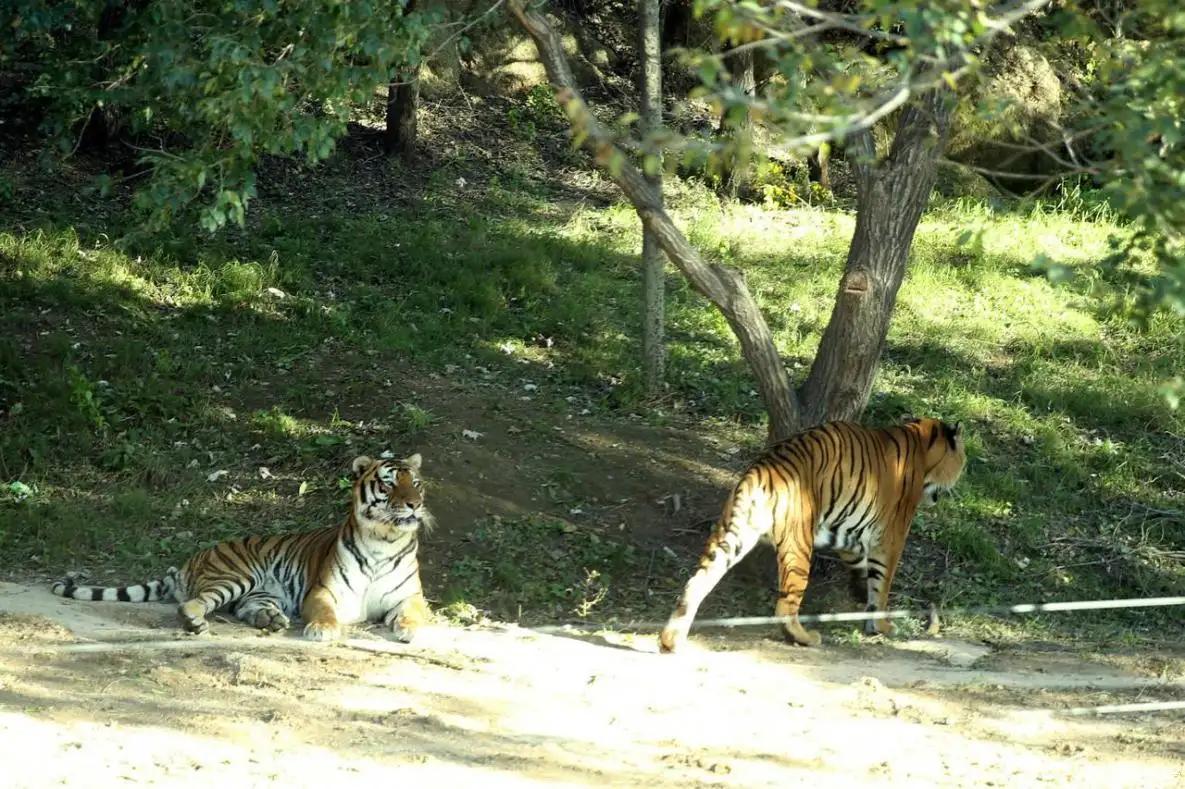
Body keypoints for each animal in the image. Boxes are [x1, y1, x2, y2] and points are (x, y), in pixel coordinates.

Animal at [53, 447, 436, 639]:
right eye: (388, 484)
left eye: (416, 483)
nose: (414, 504)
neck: (383, 540)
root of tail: (192, 559)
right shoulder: (323, 592)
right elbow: (325, 612)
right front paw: (322, 630)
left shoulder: (411, 596)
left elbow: (414, 613)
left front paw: (410, 629)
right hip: (236, 577)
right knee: (193, 603)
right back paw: (196, 623)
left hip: (261, 592)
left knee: (245, 608)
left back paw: (271, 621)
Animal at [663, 414, 966, 649]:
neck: (921, 442)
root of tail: (759, 471)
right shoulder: (891, 536)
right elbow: (882, 583)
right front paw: (881, 624)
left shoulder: (847, 532)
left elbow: (861, 565)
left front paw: (860, 596)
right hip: (797, 546)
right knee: (785, 605)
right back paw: (805, 637)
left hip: (731, 537)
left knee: (695, 583)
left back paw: (671, 640)